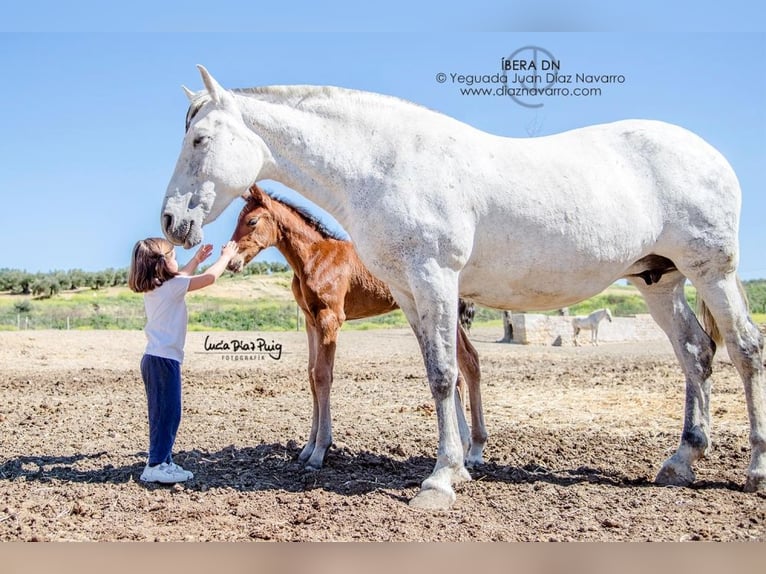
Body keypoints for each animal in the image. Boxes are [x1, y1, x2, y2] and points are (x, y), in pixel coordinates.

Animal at [227, 184, 487, 470]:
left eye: (251, 221)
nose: (231, 263)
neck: (315, 256)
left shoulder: (330, 318)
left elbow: (323, 376)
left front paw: (319, 451)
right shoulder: (311, 321)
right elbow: (311, 374)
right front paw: (307, 449)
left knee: (467, 362)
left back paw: (473, 448)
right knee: (465, 365)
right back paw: (467, 446)